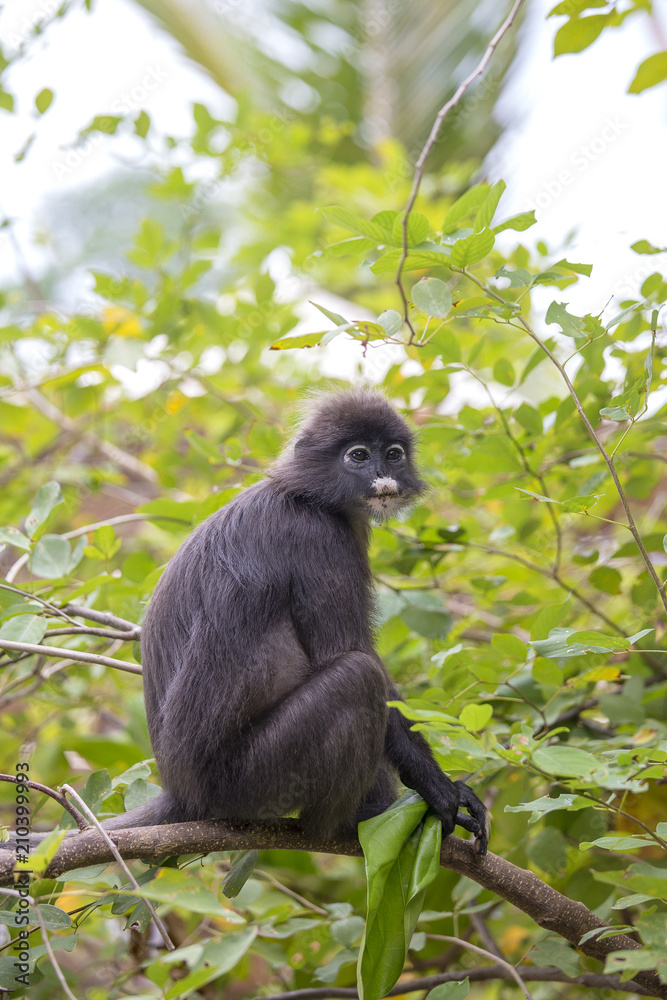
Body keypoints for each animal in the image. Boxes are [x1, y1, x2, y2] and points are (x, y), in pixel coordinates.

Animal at [2, 389, 489, 853]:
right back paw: (347, 824)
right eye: (358, 455)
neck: (306, 496)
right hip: (250, 781)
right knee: (358, 676)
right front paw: (440, 791)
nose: (383, 477)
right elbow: (349, 654)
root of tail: (184, 793)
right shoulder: (317, 539)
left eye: (392, 454)